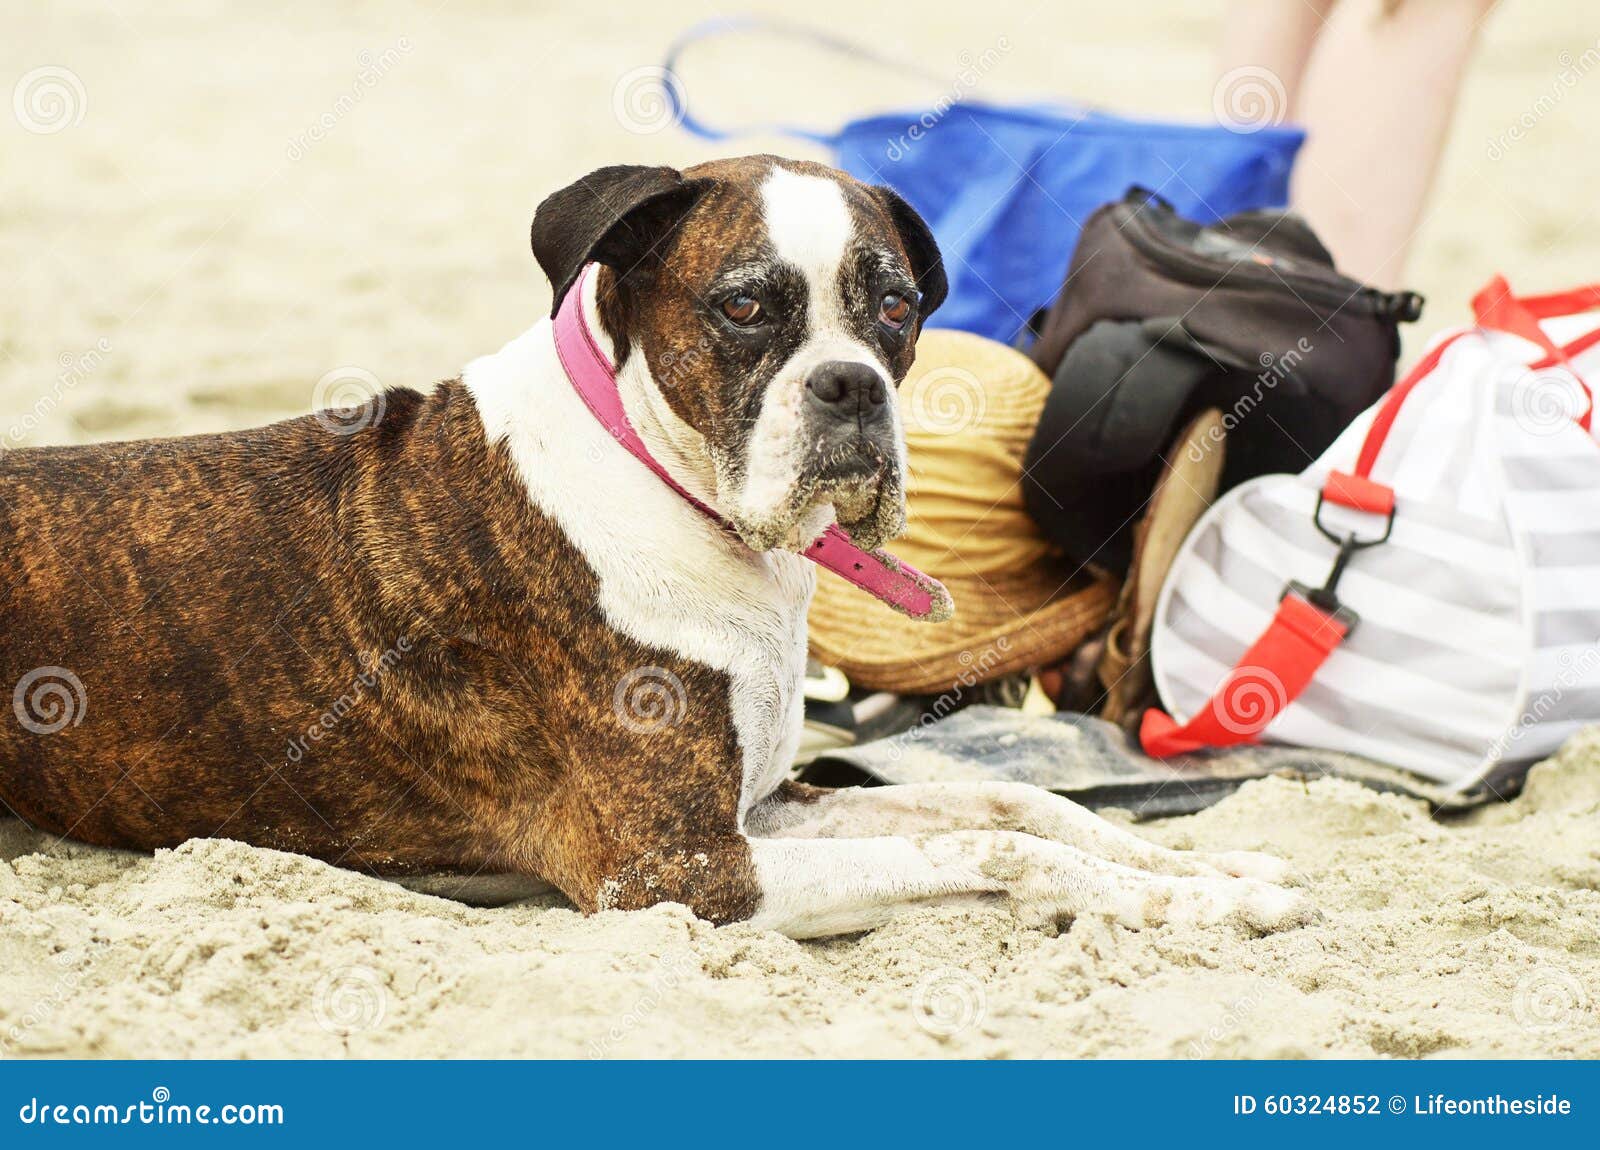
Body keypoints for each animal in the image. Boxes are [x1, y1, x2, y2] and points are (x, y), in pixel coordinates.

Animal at [0, 157, 1312, 940]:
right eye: (743, 306)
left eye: (895, 305)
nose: (851, 385)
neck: (668, 481)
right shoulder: (677, 869)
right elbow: (1004, 852)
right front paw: (1189, 904)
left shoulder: (761, 809)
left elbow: (1016, 806)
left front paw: (1216, 876)